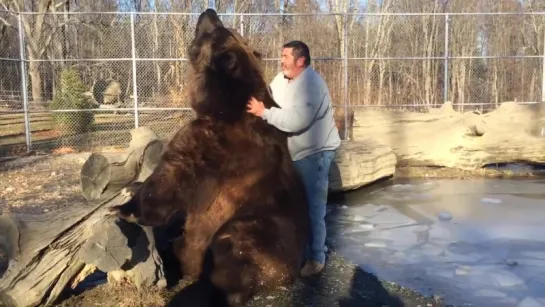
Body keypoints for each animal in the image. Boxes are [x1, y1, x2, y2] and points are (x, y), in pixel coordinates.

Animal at [108, 8, 310, 306]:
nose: (209, 11)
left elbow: (168, 180)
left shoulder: (211, 147)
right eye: (223, 27)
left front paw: (124, 208)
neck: (223, 104)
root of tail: (289, 277)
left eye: (215, 30)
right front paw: (131, 187)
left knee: (232, 246)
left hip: (257, 229)